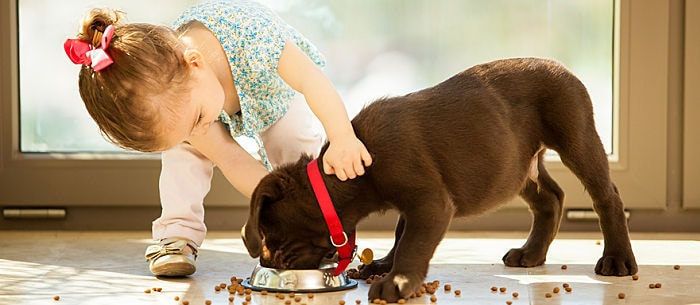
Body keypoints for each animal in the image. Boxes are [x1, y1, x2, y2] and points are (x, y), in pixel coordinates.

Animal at [243, 58, 636, 300]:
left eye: (271, 234)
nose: (268, 263)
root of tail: (561, 66)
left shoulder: (429, 202)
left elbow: (413, 242)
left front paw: (397, 281)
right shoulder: (415, 202)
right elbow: (401, 233)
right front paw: (384, 266)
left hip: (576, 136)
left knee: (607, 196)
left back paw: (617, 260)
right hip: (516, 165)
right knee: (550, 197)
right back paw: (531, 253)